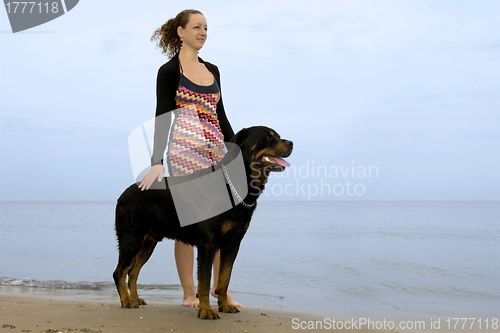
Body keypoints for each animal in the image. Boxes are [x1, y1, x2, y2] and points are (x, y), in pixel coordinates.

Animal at [113, 126, 292, 318]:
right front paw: (206, 310)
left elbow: (224, 279)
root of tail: (122, 195)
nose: (291, 143)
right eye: (268, 137)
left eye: (278, 136)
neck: (235, 184)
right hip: (131, 238)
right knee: (119, 272)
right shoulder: (207, 244)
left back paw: (135, 298)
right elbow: (205, 282)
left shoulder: (232, 243)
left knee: (132, 271)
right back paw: (126, 301)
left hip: (148, 242)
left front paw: (224, 305)